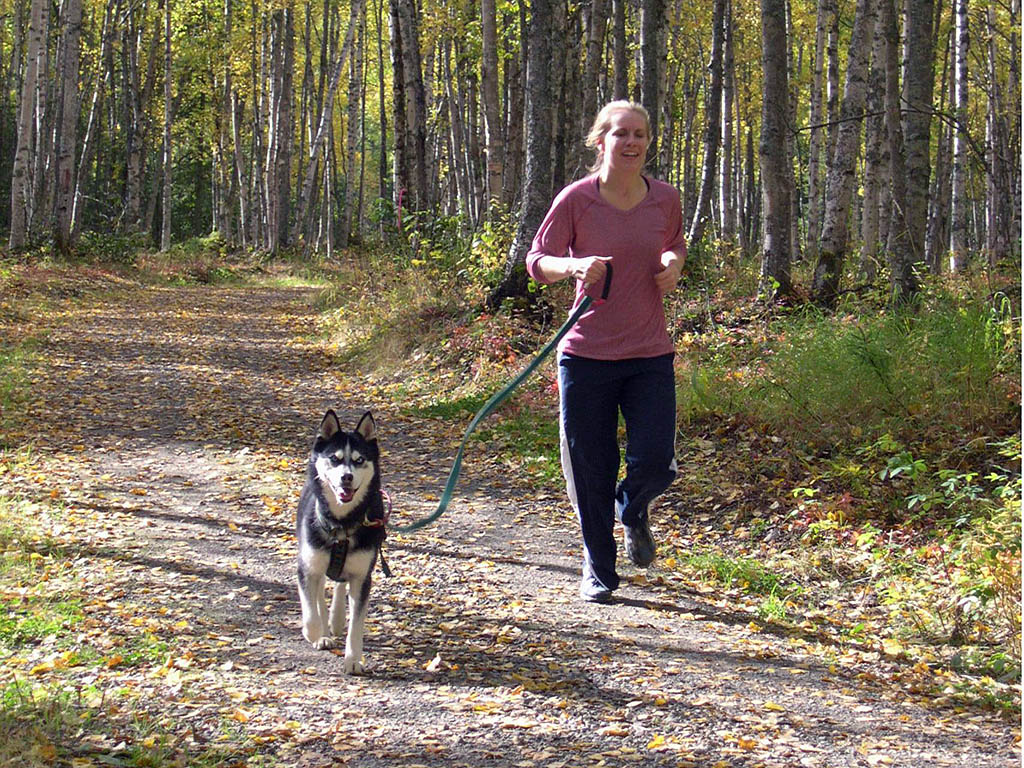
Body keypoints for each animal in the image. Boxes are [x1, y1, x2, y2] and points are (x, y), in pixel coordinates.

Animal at [299, 409, 391, 671]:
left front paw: (352, 659)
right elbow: (311, 614)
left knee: (339, 584)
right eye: (334, 458)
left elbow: (356, 625)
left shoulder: (362, 577)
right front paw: (316, 634)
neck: (341, 525)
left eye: (359, 460)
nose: (346, 477)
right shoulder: (307, 568)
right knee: (320, 591)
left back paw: (337, 618)